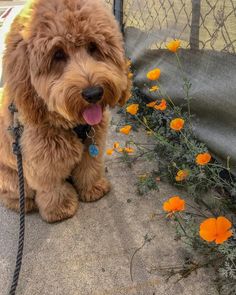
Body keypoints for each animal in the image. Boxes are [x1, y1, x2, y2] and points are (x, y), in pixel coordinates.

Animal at [0, 0, 131, 222]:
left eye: (93, 47)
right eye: (57, 55)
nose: (94, 93)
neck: (73, 124)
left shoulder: (93, 143)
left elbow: (90, 167)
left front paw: (93, 188)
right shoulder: (42, 160)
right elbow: (52, 185)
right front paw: (59, 208)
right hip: (12, 176)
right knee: (14, 193)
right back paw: (24, 204)